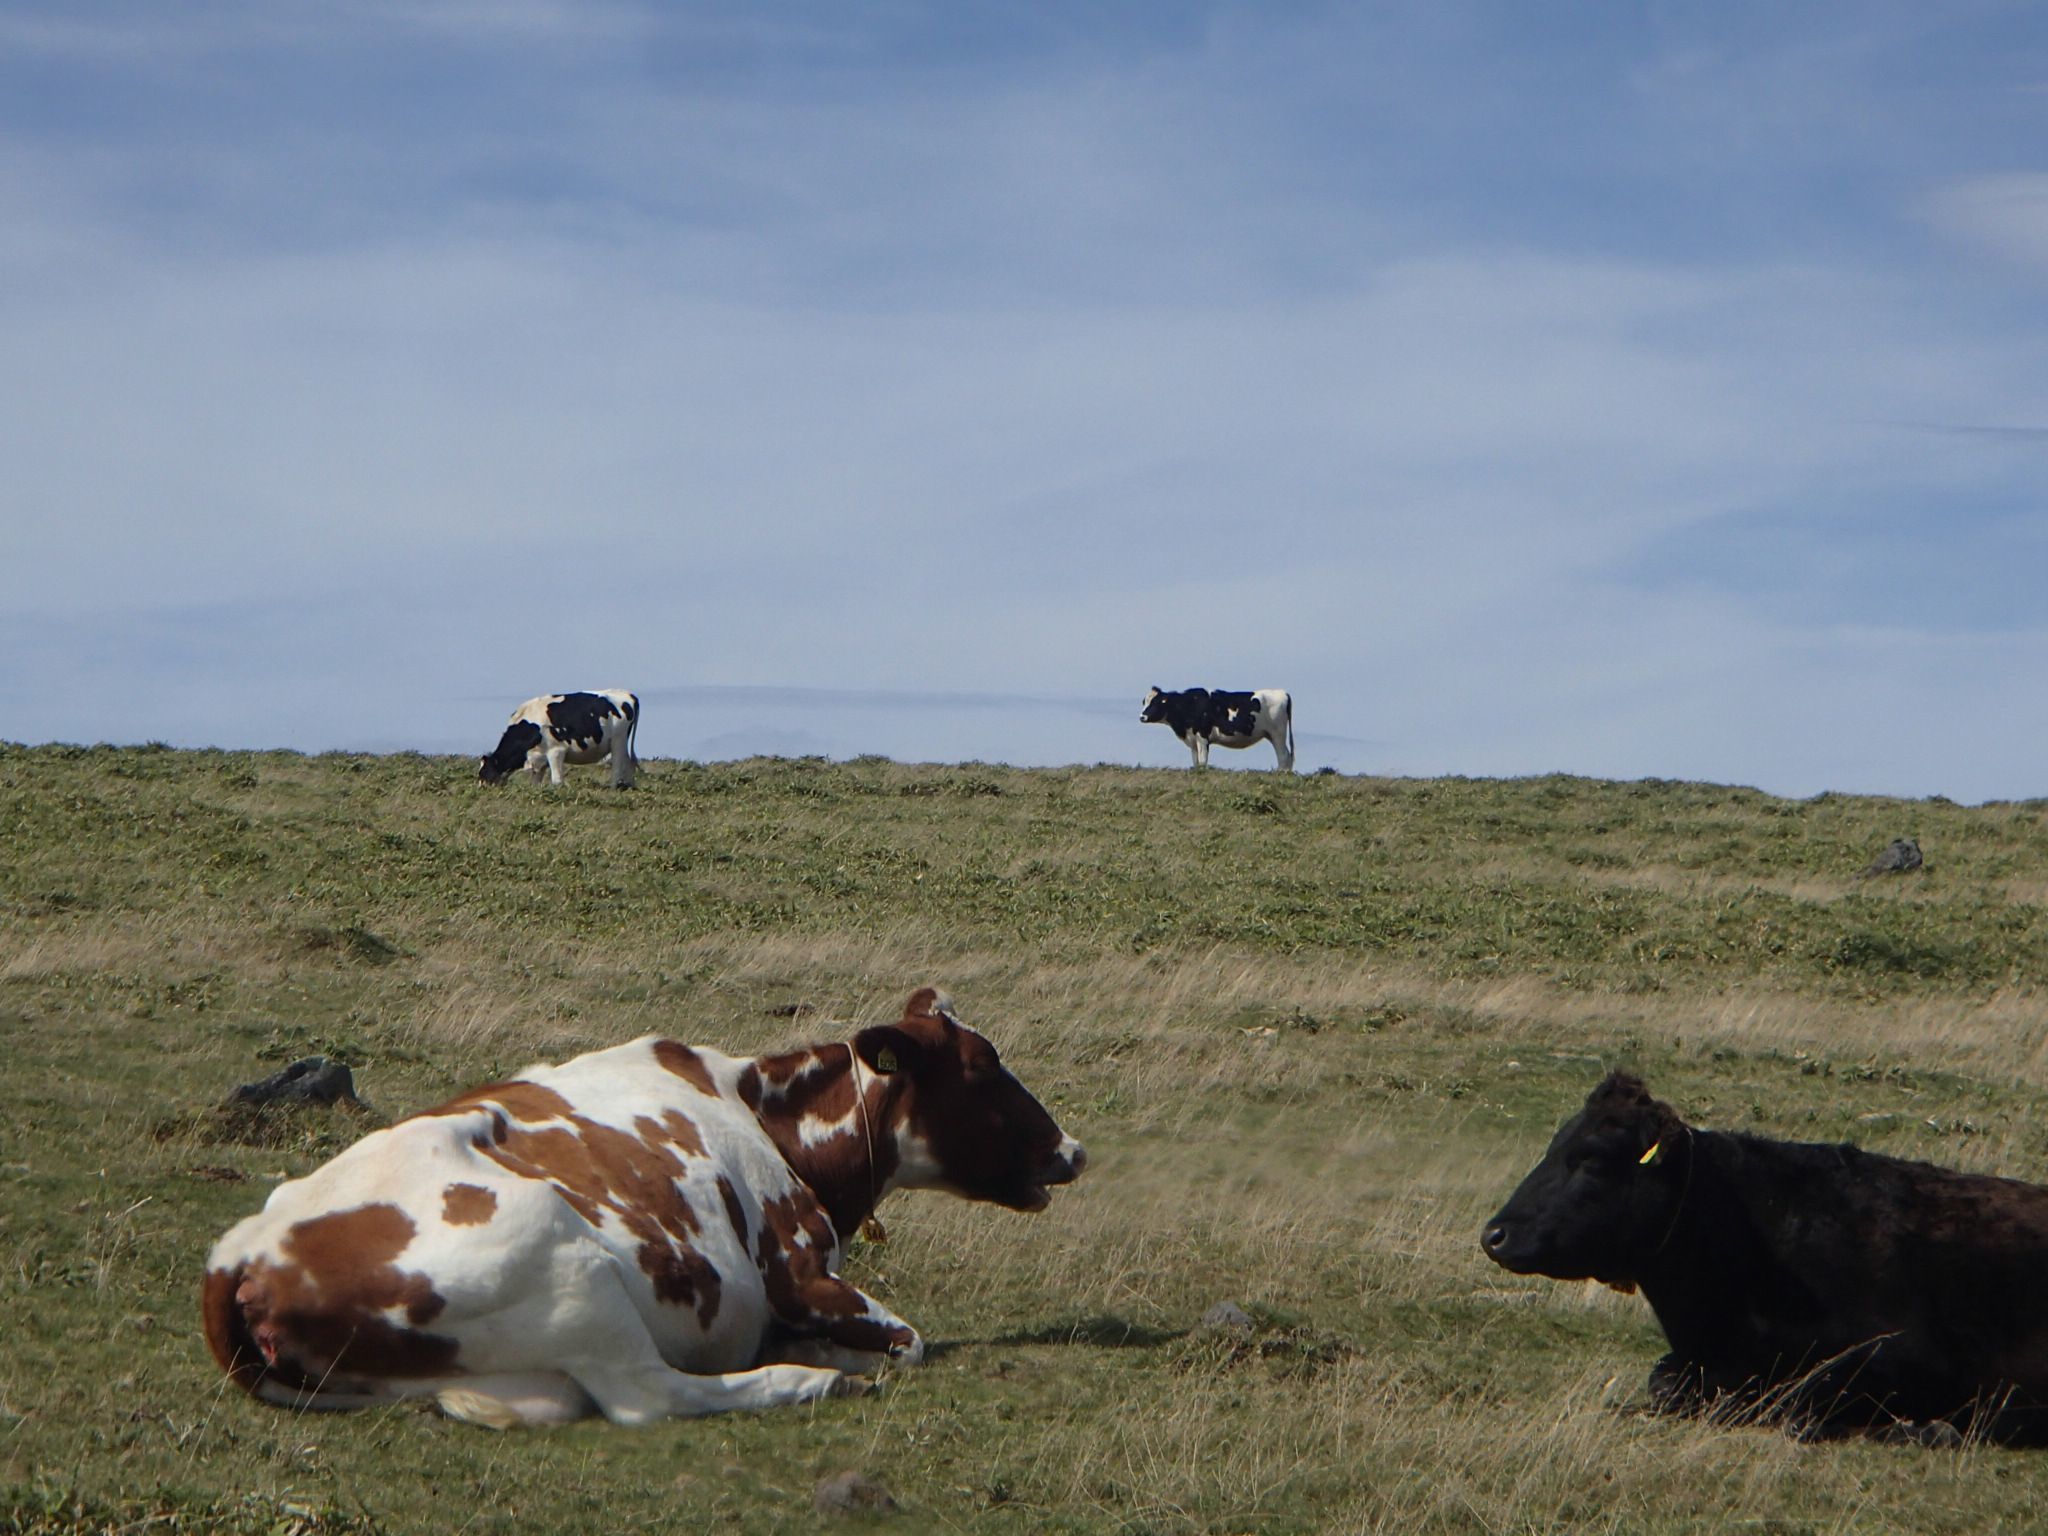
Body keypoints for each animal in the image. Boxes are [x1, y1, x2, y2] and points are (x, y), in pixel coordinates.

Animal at [205, 987, 1089, 1433]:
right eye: (981, 1067)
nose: (1073, 1149)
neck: (764, 1113)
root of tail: (245, 1255)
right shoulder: (796, 1267)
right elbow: (907, 1340)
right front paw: (834, 1355)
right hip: (571, 1268)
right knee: (649, 1396)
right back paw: (808, 1380)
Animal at [479, 696, 638, 794]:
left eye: (485, 773)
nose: (481, 791)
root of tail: (627, 694)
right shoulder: (539, 759)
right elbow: (535, 782)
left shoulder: (556, 751)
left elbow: (557, 781)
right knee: (629, 763)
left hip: (618, 741)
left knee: (617, 767)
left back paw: (613, 789)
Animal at [1138, 692, 1294, 774]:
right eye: (1144, 702)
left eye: (1155, 702)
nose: (1142, 717)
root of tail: (1282, 693)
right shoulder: (1193, 740)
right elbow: (1195, 760)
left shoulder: (1202, 736)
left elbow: (1202, 760)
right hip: (1271, 734)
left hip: (1278, 733)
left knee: (1283, 755)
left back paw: (1281, 773)